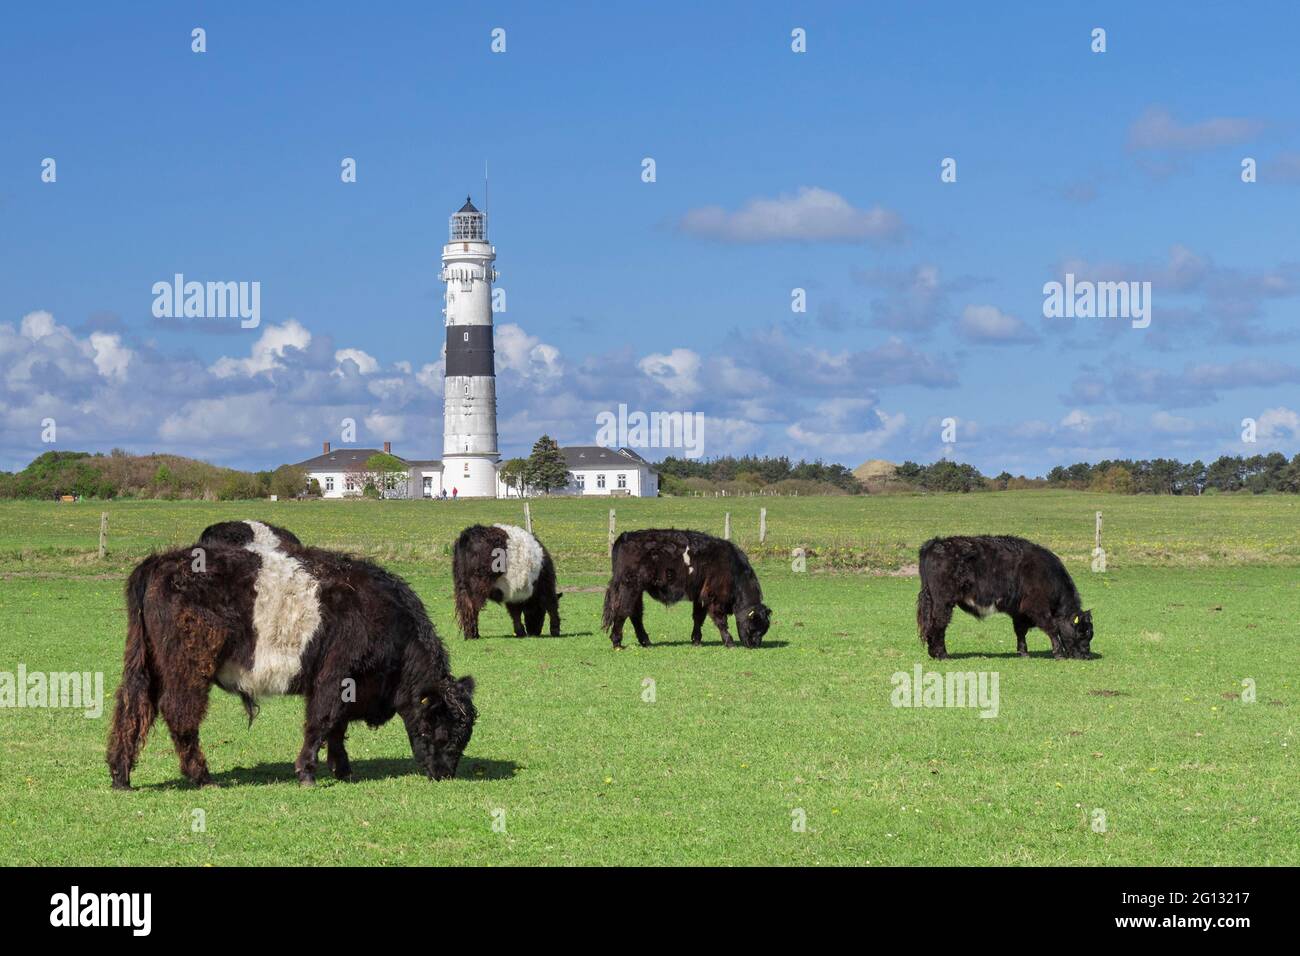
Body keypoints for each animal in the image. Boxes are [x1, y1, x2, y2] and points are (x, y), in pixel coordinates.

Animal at [105, 528, 473, 790]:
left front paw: (342, 769)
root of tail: (160, 561)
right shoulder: (335, 677)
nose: (445, 774)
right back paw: (202, 776)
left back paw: (121, 776)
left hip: (146, 666)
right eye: (442, 732)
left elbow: (337, 728)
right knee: (179, 713)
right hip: (188, 667)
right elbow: (321, 722)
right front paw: (307, 772)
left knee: (132, 708)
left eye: (464, 737)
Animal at [600, 530, 769, 650]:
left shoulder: (700, 596)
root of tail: (626, 536)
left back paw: (646, 641)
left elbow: (698, 618)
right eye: (755, 628)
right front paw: (729, 642)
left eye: (764, 630)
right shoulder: (714, 596)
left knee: (635, 614)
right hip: (630, 586)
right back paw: (617, 643)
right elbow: (721, 620)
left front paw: (696, 640)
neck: (733, 568)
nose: (755, 644)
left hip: (637, 590)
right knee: (622, 611)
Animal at [915, 535, 1097, 660]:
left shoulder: (1020, 612)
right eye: (1082, 632)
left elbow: (1020, 631)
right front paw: (1059, 654)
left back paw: (934, 653)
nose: (1086, 655)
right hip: (943, 603)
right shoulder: (1037, 607)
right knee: (939, 625)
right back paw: (942, 654)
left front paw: (1024, 653)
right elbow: (1052, 628)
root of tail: (935, 543)